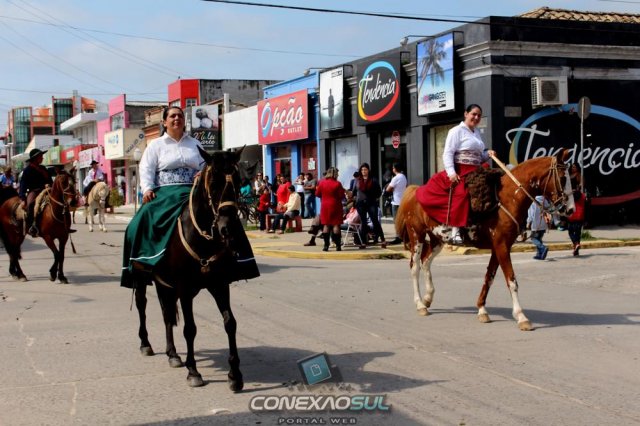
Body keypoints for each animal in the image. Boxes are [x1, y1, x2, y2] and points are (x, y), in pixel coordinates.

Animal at [131, 147, 257, 390]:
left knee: (166, 314)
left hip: (163, 283)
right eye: (214, 183)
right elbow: (190, 328)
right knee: (142, 306)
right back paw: (145, 344)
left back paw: (172, 354)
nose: (228, 229)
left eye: (238, 182)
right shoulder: (184, 288)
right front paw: (193, 372)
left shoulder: (220, 284)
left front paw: (235, 375)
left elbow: (230, 323)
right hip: (141, 276)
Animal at [395, 151, 575, 331]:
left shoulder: (499, 246)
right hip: (416, 235)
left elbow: (489, 277)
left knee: (426, 261)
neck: (509, 197)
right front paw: (521, 317)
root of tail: (414, 191)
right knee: (415, 266)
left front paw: (482, 309)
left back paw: (428, 298)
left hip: (437, 239)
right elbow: (511, 280)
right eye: (562, 178)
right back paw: (420, 304)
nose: (570, 209)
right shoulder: (502, 246)